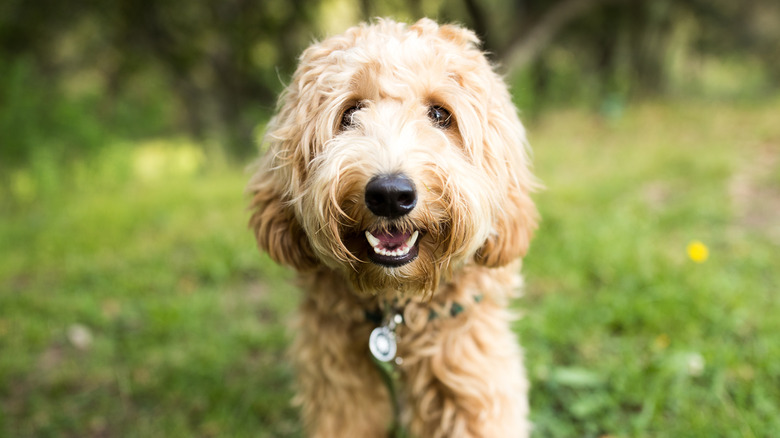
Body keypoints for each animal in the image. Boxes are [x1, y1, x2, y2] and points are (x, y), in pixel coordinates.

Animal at [248, 17, 536, 438]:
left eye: (440, 115)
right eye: (350, 113)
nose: (389, 194)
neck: (396, 314)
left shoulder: (470, 373)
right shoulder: (340, 392)